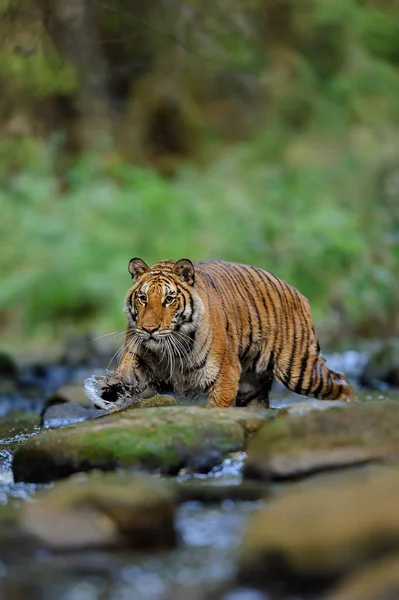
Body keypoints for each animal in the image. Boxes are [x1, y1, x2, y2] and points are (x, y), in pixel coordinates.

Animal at [94, 255, 360, 410]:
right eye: (143, 298)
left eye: (169, 299)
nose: (149, 329)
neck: (169, 348)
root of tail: (296, 291)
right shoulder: (139, 355)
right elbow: (127, 372)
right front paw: (109, 387)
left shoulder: (226, 373)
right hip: (252, 385)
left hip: (298, 368)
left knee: (341, 380)